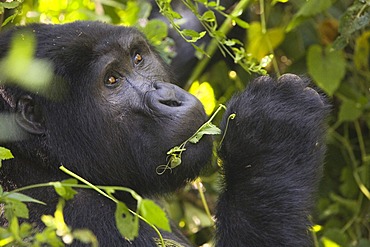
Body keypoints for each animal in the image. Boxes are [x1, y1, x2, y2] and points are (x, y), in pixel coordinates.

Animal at [0, 22, 330, 246]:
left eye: (137, 58)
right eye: (111, 80)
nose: (169, 98)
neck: (39, 161)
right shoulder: (79, 218)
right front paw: (271, 133)